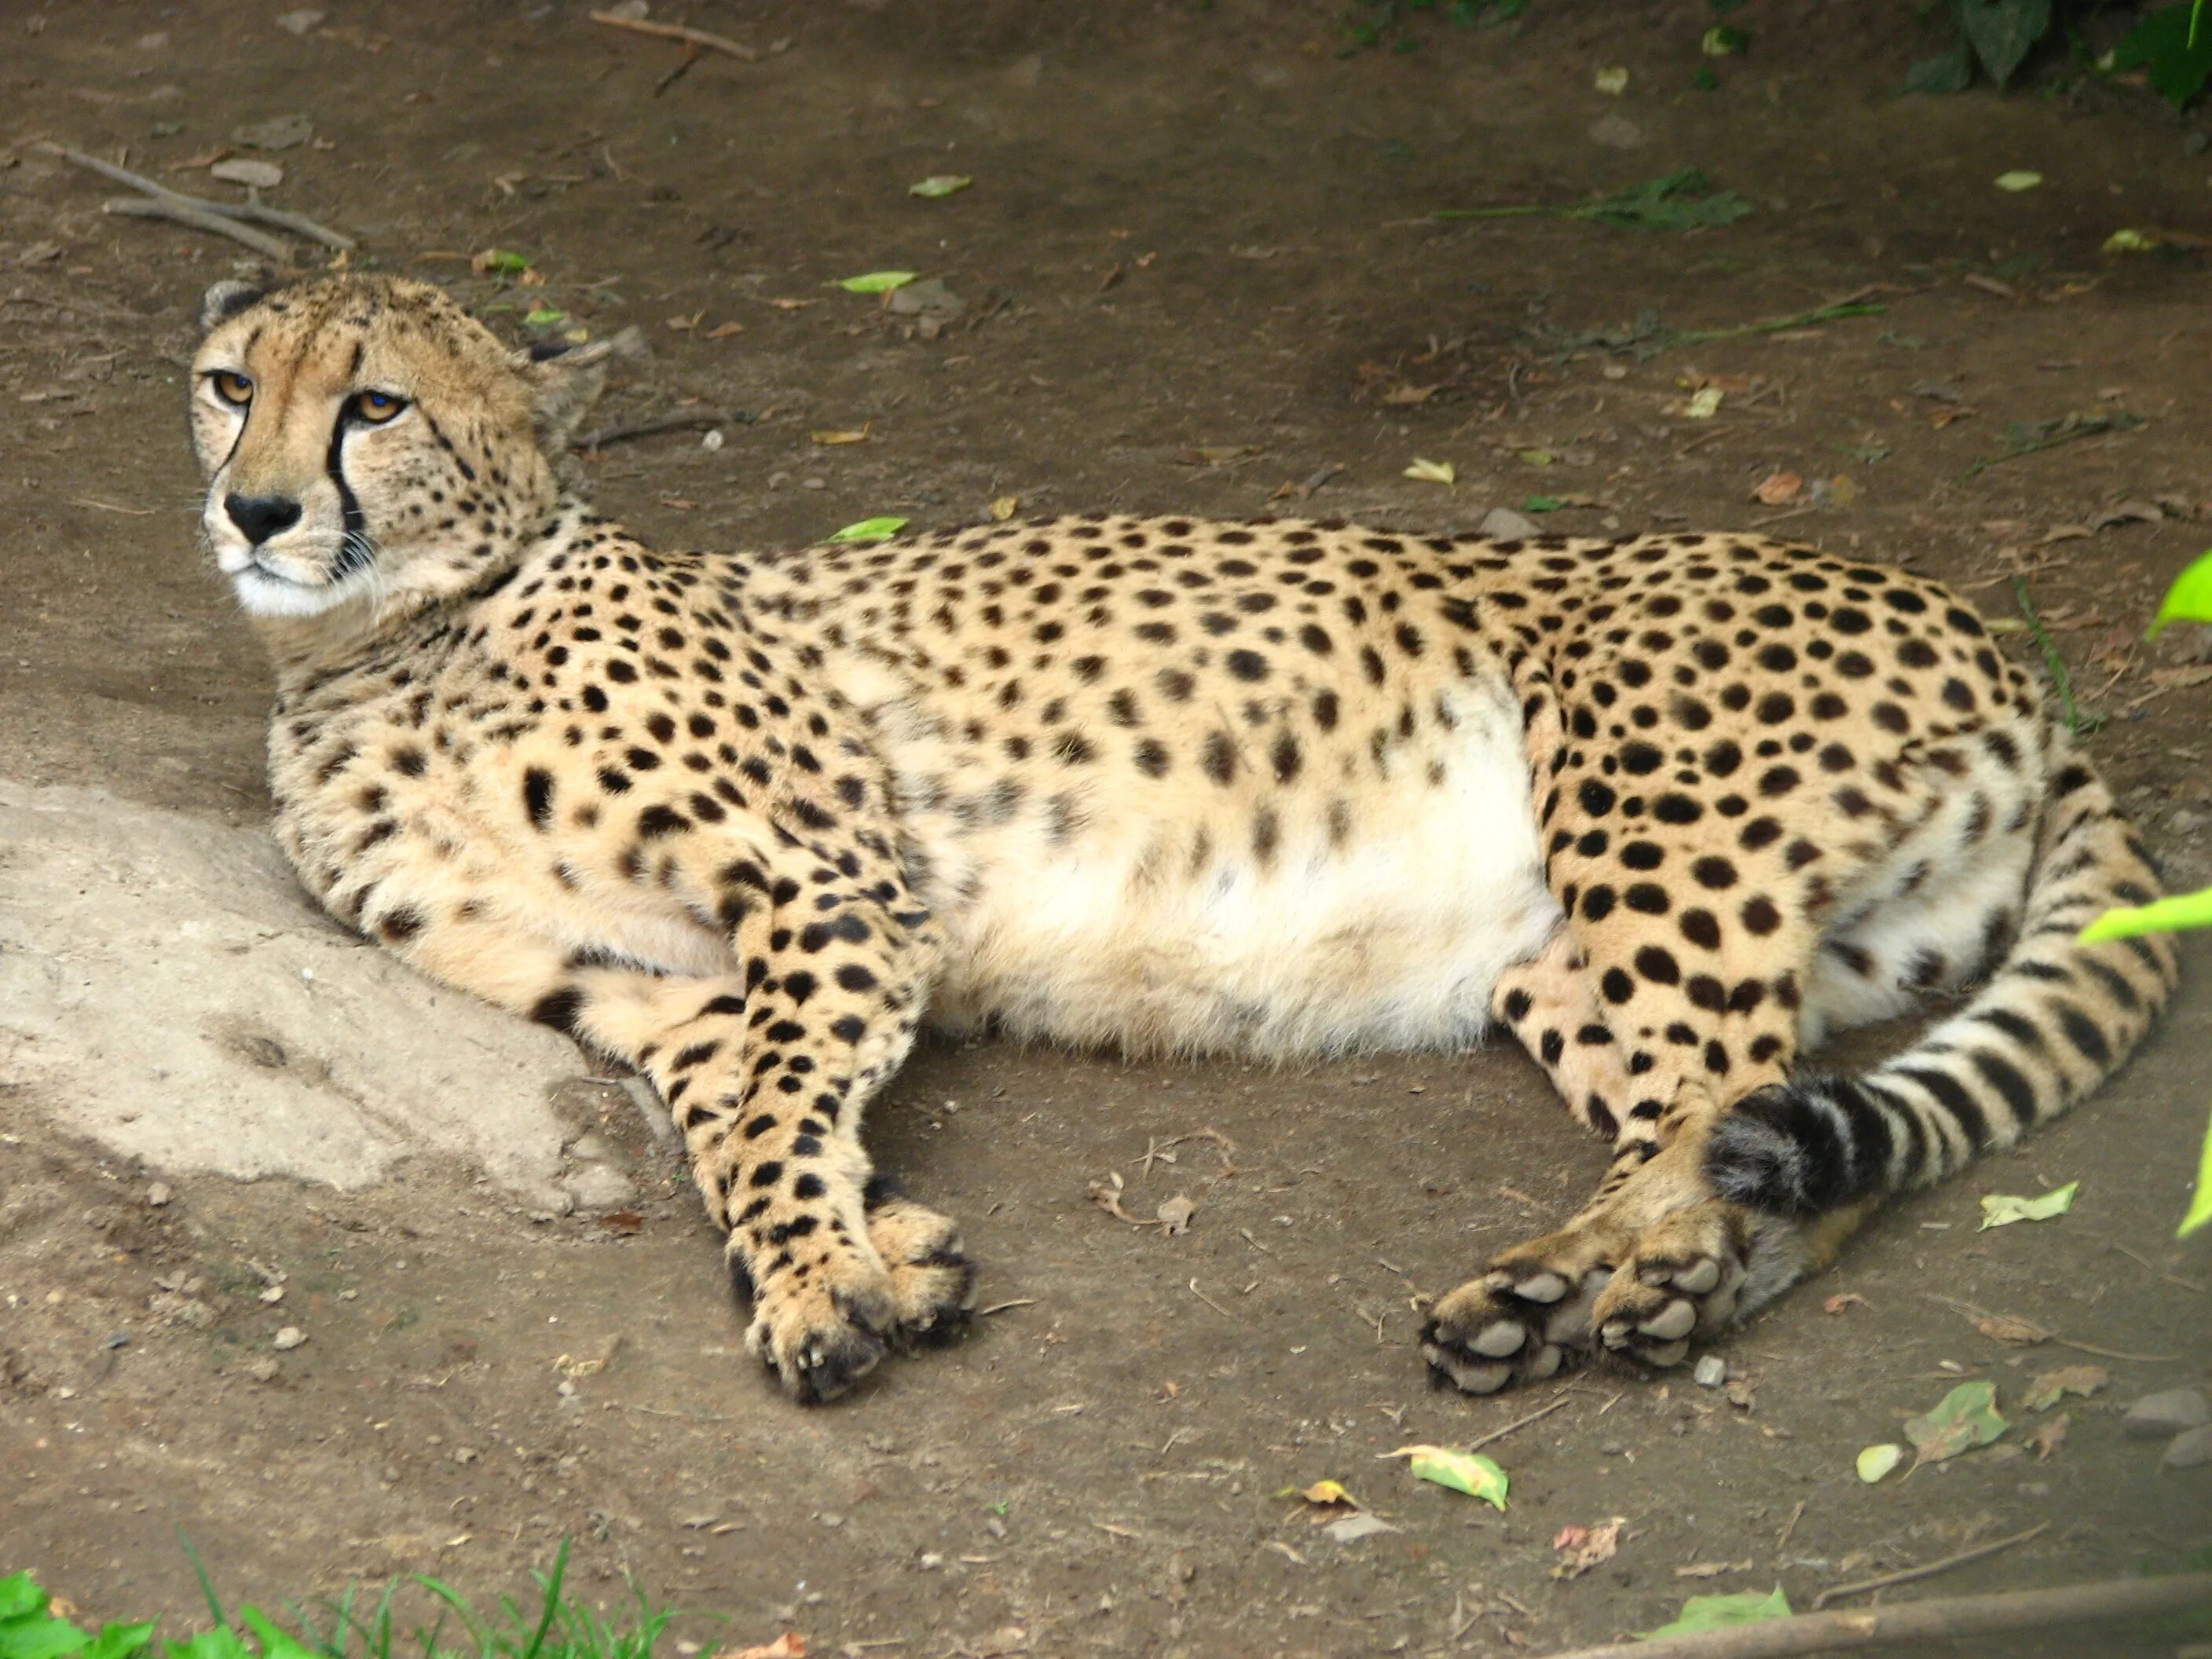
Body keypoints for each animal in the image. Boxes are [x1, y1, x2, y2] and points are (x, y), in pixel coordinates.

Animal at [185, 273, 2176, 1406]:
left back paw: (1590, 1285)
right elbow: (742, 1117)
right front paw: (868, 1246)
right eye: (227, 382)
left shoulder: (834, 880)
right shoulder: (642, 985)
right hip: (1569, 969)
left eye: (373, 401)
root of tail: (2007, 644)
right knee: (1781, 1146)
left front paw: (823, 1279)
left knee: (1743, 1101)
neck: (375, 643)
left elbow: (774, 1105)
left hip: (1647, 814)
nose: (253, 507)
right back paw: (1589, 1292)